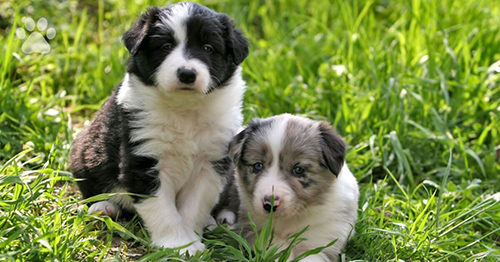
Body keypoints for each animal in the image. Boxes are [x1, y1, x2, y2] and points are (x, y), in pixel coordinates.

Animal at [69, 1, 249, 256]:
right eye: (165, 46)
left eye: (208, 48)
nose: (187, 73)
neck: (184, 110)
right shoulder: (144, 160)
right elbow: (162, 209)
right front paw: (178, 244)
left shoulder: (211, 163)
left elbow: (194, 206)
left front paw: (190, 239)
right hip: (84, 154)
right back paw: (104, 207)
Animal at [215, 114, 360, 262]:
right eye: (258, 166)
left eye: (298, 170)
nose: (270, 204)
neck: (292, 217)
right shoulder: (257, 231)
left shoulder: (322, 240)